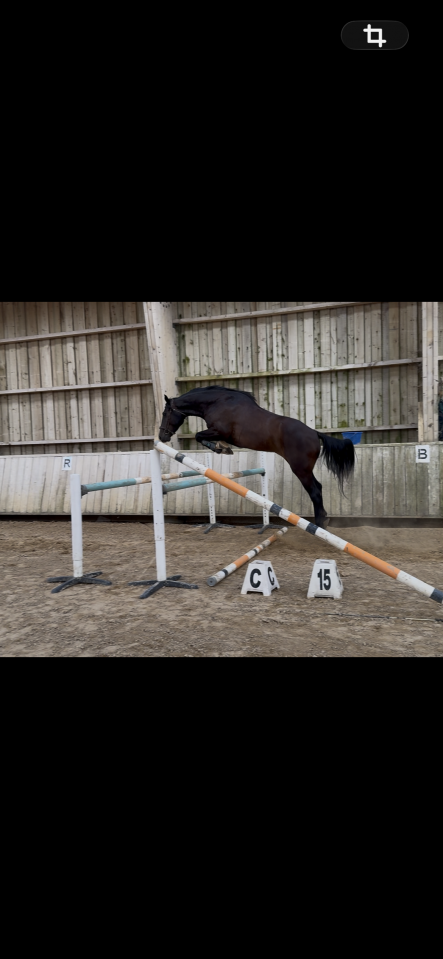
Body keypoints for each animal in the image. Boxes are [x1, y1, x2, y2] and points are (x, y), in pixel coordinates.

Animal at [159, 386, 355, 529]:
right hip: (305, 469)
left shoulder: (219, 431)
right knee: (318, 488)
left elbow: (199, 436)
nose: (162, 436)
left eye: (165, 413)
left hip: (301, 469)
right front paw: (223, 447)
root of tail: (315, 433)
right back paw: (322, 521)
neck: (217, 402)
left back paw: (319, 523)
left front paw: (221, 448)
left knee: (314, 491)